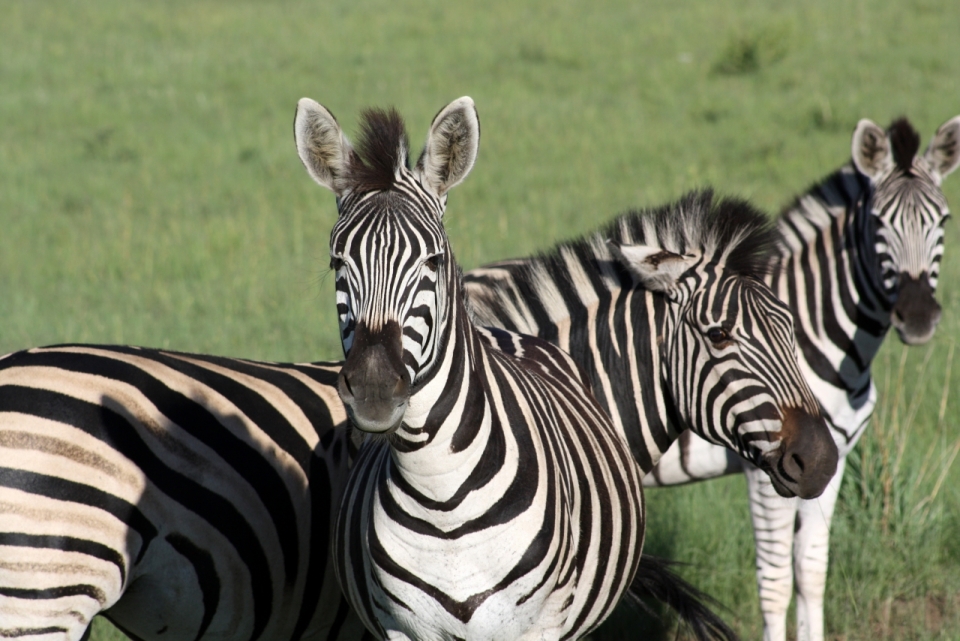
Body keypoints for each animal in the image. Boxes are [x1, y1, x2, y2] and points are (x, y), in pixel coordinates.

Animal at [628, 116, 960, 640]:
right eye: (879, 222)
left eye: (943, 220)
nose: (919, 317)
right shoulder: (766, 472)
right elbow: (776, 581)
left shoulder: (832, 459)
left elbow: (811, 570)